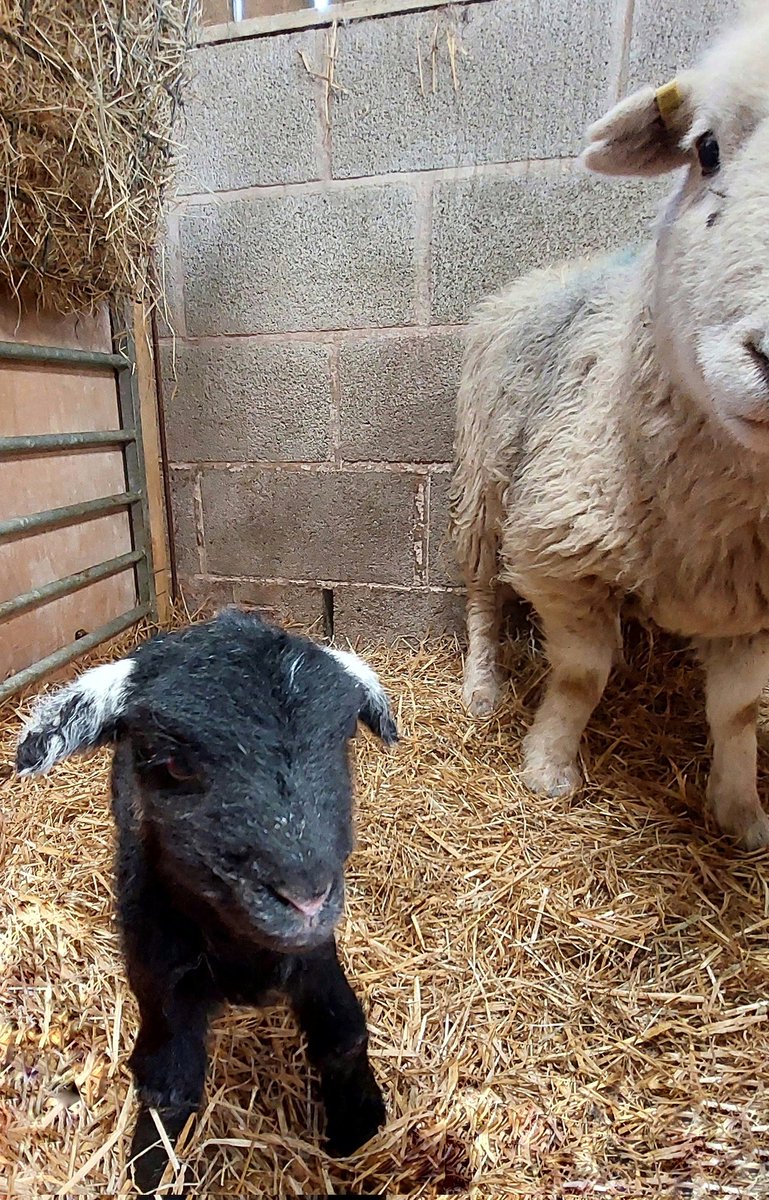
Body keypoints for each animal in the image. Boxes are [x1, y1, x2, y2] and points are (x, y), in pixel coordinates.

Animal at [17, 609, 395, 1190]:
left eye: (341, 740)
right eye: (172, 765)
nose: (306, 901)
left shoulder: (314, 953)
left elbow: (344, 1034)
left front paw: (360, 1126)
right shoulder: (158, 971)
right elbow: (168, 1083)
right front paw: (149, 1170)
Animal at [451, 9, 769, 854]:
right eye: (705, 149)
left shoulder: (757, 604)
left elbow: (737, 710)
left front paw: (740, 811)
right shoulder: (558, 549)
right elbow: (581, 674)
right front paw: (547, 766)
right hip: (483, 481)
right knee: (480, 591)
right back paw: (482, 686)